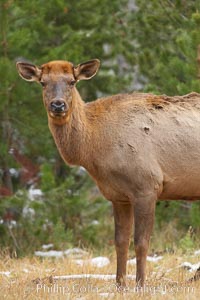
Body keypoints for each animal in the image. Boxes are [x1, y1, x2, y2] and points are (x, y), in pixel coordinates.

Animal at [16, 59, 200, 288]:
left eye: (72, 82)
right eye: (43, 82)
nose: (57, 105)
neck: (95, 148)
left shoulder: (147, 187)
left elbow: (141, 242)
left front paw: (140, 285)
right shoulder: (118, 196)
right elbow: (120, 242)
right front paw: (120, 284)